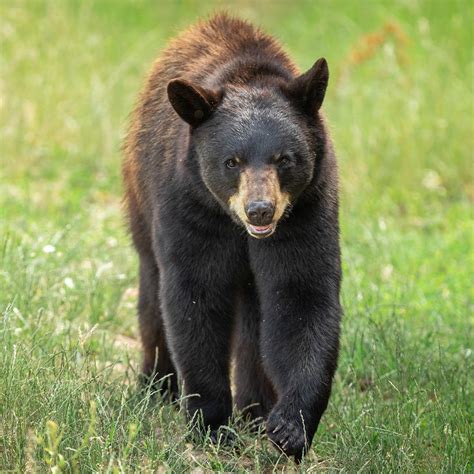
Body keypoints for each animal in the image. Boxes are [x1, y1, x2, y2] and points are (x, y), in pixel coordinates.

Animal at [123, 13, 340, 460]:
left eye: (284, 158)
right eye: (232, 161)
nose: (261, 210)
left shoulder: (307, 210)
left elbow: (303, 296)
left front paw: (290, 426)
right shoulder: (190, 206)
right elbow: (195, 297)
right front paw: (211, 424)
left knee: (256, 321)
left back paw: (255, 411)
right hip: (141, 202)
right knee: (153, 293)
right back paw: (157, 386)